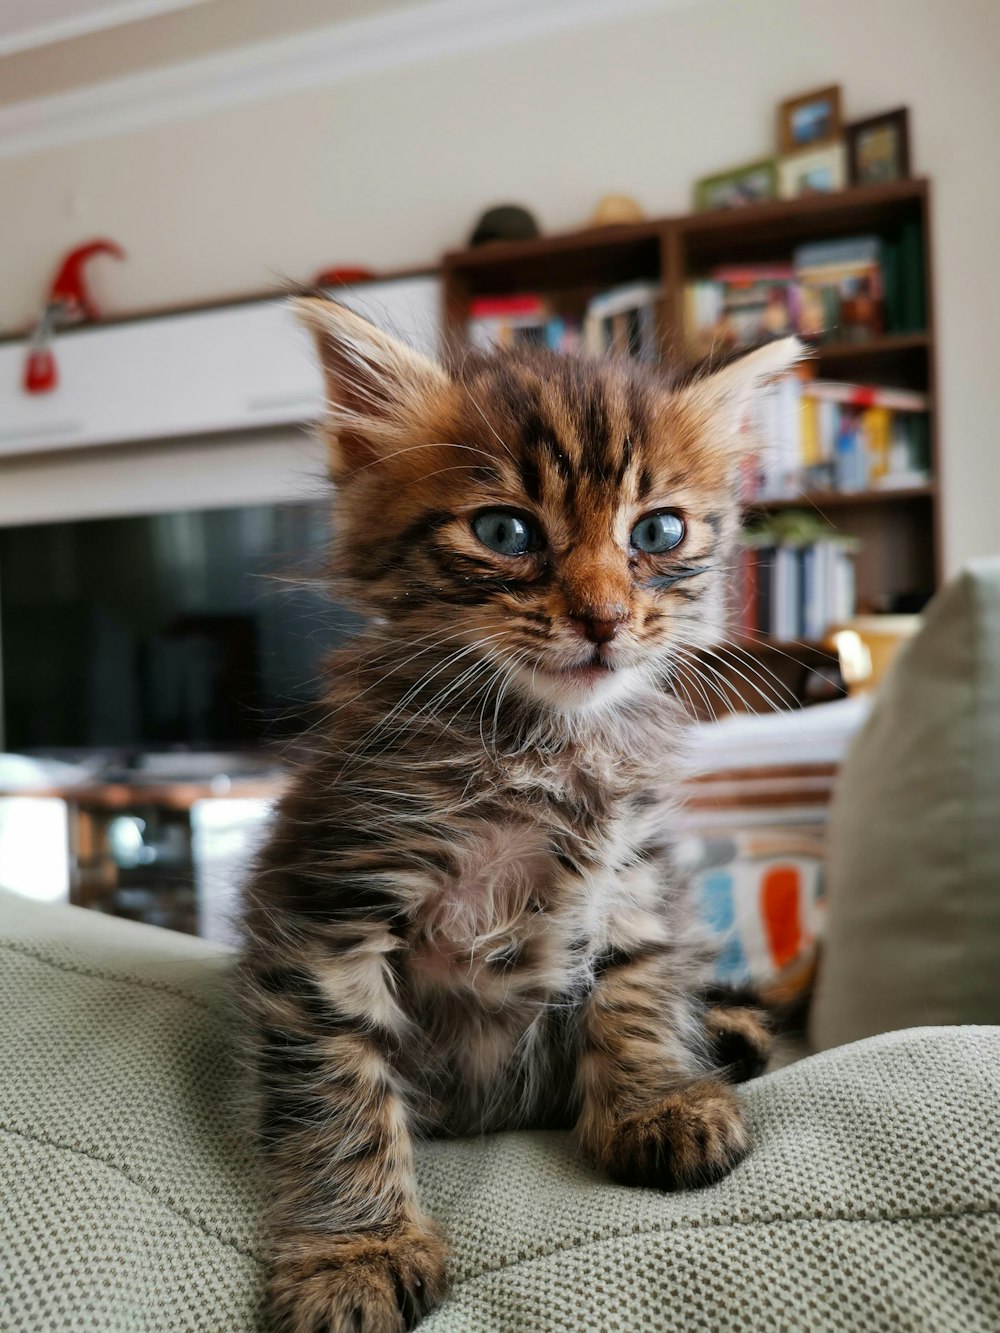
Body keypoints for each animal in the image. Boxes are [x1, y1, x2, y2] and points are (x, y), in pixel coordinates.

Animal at [245, 302, 805, 1333]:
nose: (604, 618)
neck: (540, 745)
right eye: (506, 531)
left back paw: (729, 1038)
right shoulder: (328, 908)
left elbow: (637, 984)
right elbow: (338, 1090)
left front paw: (656, 1102)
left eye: (659, 530)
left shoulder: (632, 876)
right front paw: (355, 1251)